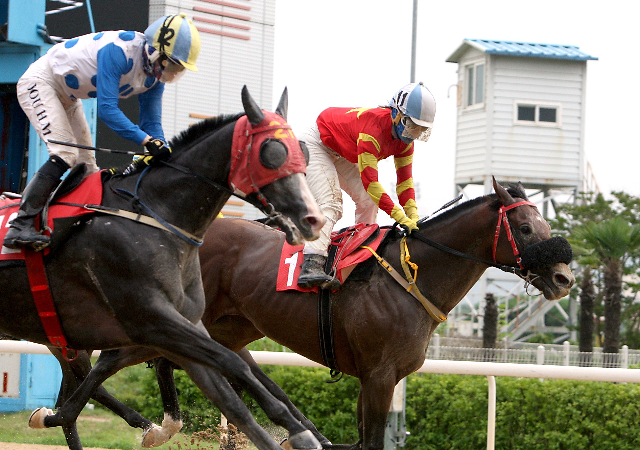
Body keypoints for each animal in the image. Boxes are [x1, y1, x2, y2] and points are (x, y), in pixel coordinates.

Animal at [1, 87, 324, 450]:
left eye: (303, 155)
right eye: (273, 153)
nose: (312, 219)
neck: (155, 216)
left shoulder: (185, 326)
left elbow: (239, 395)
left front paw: (300, 432)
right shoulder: (151, 321)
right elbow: (233, 367)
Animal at [31, 178, 576, 448]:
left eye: (546, 224)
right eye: (526, 228)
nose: (564, 278)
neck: (411, 277)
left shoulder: (374, 378)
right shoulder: (379, 376)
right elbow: (371, 443)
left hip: (226, 331)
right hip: (171, 318)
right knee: (113, 359)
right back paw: (67, 416)